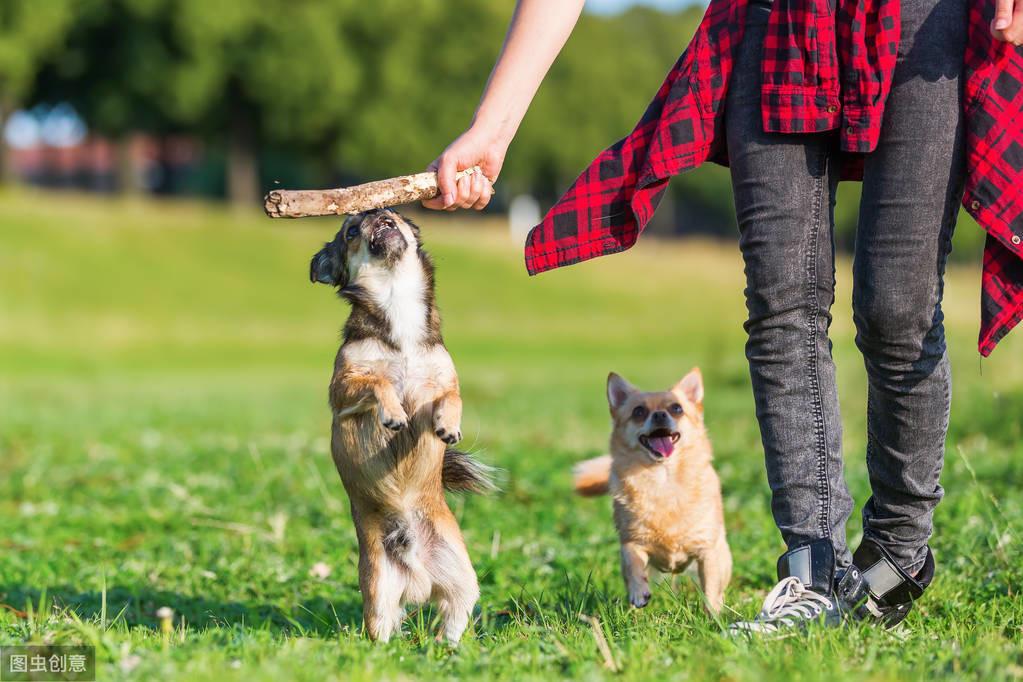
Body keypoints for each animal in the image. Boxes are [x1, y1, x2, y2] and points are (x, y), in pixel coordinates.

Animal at [306, 209, 491, 646]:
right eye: (350, 231)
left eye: (399, 215)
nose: (378, 214)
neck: (397, 305)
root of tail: (418, 578)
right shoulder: (344, 388)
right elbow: (379, 382)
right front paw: (392, 414)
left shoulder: (442, 380)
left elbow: (453, 398)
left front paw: (448, 426)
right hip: (378, 589)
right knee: (383, 627)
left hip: (462, 576)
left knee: (454, 616)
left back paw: (448, 648)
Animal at [572, 370, 732, 617]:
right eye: (638, 411)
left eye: (677, 408)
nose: (659, 414)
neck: (663, 479)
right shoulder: (631, 542)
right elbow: (633, 566)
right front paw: (639, 592)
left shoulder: (708, 551)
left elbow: (711, 588)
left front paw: (713, 616)